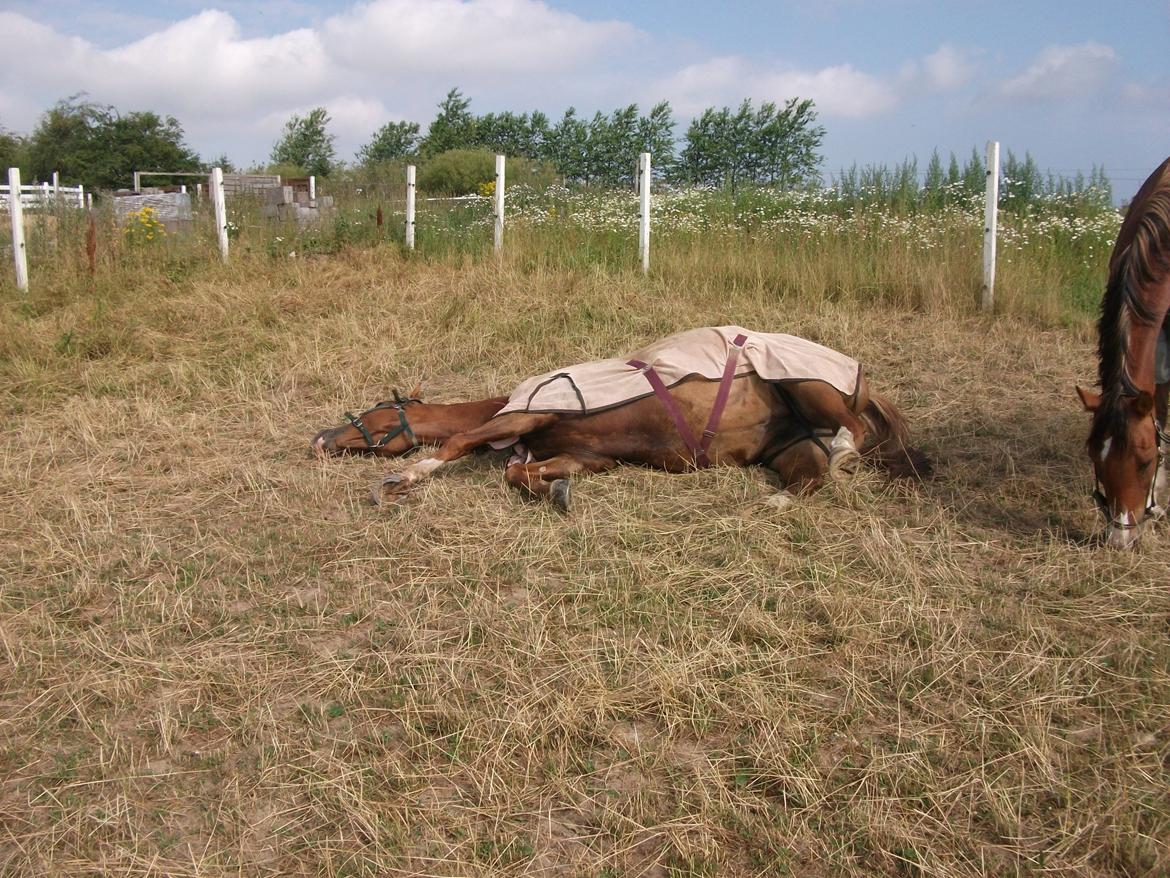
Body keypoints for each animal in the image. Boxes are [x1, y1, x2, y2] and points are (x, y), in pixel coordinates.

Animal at [313, 327, 931, 508]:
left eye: (373, 410)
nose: (320, 438)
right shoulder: (591, 456)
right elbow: (519, 472)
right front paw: (554, 489)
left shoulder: (522, 420)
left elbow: (460, 440)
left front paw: (401, 479)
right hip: (792, 446)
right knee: (810, 478)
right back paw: (772, 501)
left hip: (804, 383)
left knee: (850, 435)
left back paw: (846, 453)